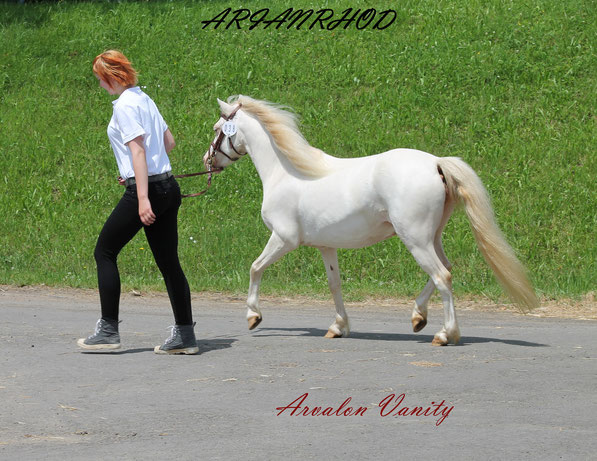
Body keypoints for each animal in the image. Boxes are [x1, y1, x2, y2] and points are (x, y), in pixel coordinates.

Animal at [203, 95, 536, 344]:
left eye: (218, 128)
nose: (208, 161)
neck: (286, 173)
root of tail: (436, 164)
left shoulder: (284, 239)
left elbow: (255, 268)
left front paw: (253, 316)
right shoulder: (326, 246)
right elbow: (334, 284)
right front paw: (338, 327)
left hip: (415, 239)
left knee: (443, 276)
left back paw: (445, 334)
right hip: (432, 237)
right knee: (446, 269)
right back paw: (418, 317)